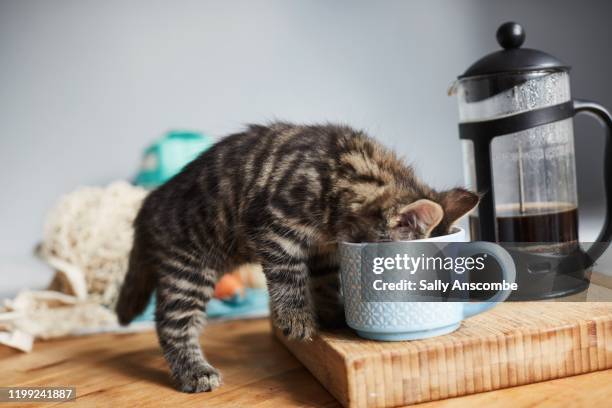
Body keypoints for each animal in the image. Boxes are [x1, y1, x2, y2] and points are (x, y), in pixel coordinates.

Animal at [115, 123, 478, 392]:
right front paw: (296, 317)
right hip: (190, 269)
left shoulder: (324, 250)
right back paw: (194, 372)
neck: (348, 174)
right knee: (171, 323)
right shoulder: (274, 226)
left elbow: (324, 283)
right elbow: (289, 276)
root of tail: (148, 205)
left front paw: (331, 312)